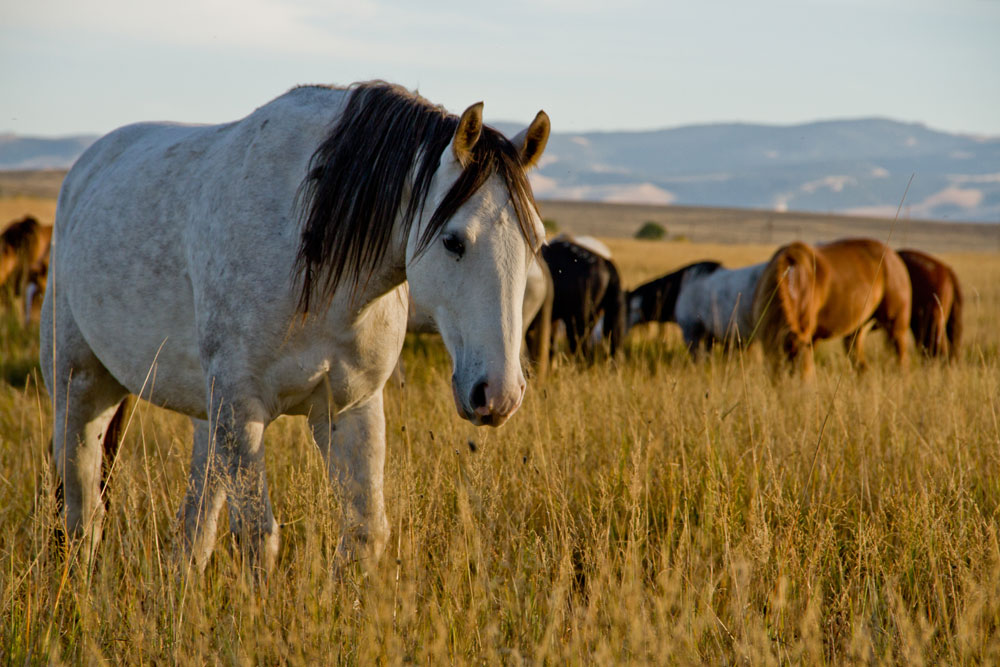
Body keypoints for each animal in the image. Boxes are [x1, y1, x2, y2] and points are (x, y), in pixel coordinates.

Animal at [43, 82, 552, 576]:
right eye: (453, 241)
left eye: (537, 243)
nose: (499, 394)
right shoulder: (242, 408)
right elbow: (258, 538)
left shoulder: (351, 408)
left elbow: (365, 533)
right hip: (82, 388)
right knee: (82, 509)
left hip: (208, 415)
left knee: (195, 522)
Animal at [752, 239, 916, 376]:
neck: (794, 278)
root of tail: (894, 257)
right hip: (856, 332)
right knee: (862, 367)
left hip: (896, 327)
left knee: (903, 362)